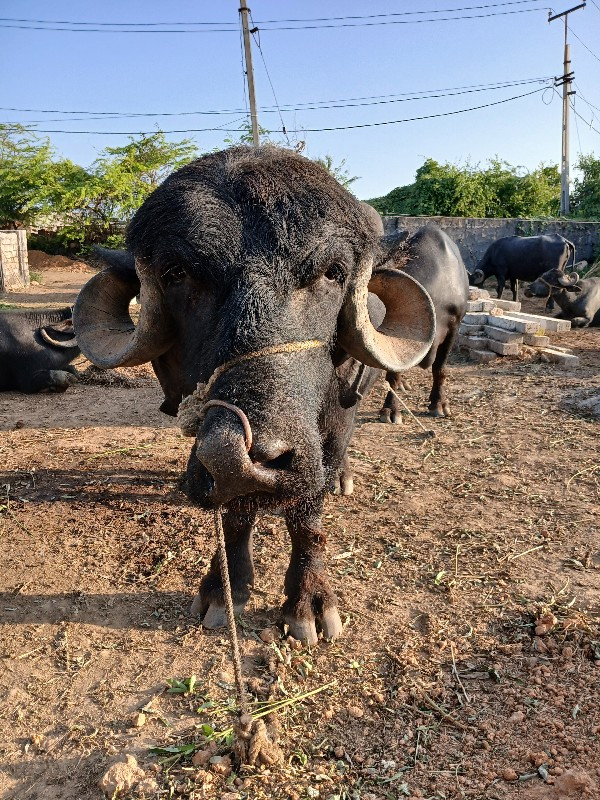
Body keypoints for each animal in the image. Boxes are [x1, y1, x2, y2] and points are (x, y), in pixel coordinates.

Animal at [74, 147, 436, 648]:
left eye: (333, 273)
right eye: (176, 273)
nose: (240, 455)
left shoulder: (330, 428)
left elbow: (308, 513)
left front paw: (308, 602)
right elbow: (234, 512)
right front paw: (224, 588)